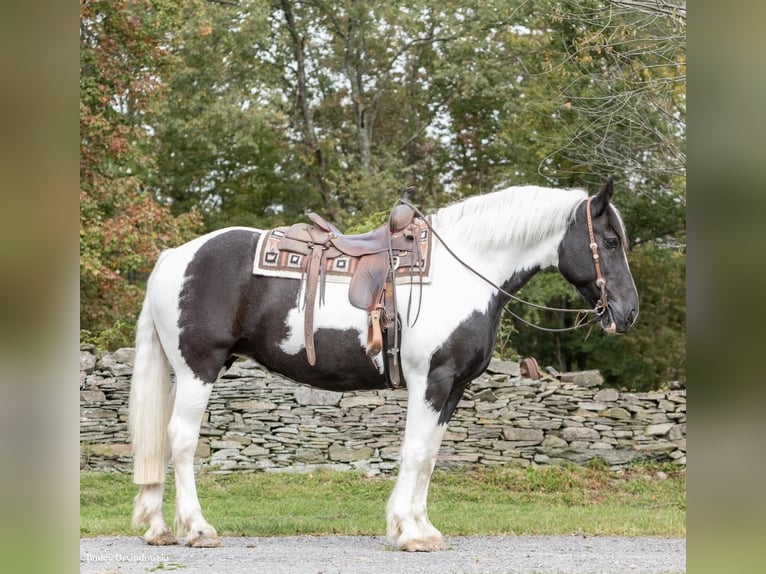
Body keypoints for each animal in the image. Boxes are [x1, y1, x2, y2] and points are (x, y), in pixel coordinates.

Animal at [130, 177, 640, 552]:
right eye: (610, 240)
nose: (628, 312)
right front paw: (410, 533)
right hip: (198, 369)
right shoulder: (431, 381)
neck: (465, 271)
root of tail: (173, 257)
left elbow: (429, 454)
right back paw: (197, 529)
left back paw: (159, 528)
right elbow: (415, 451)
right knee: (181, 440)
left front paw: (418, 527)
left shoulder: (453, 388)